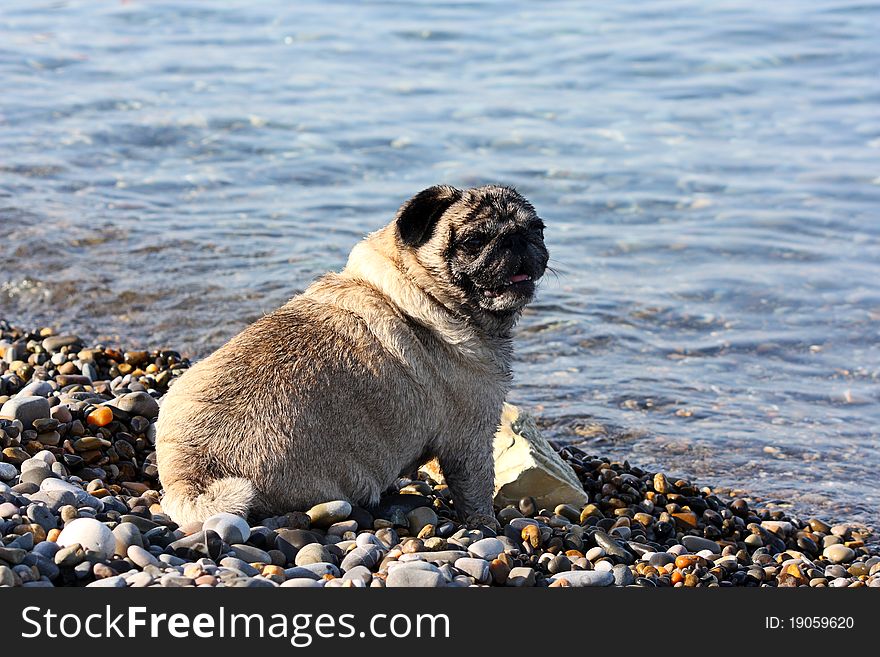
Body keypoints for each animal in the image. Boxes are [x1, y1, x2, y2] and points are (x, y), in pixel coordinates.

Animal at [155, 184, 548, 528]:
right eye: (474, 241)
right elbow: (477, 491)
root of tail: (191, 471)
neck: (423, 292)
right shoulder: (471, 438)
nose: (516, 239)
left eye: (538, 229)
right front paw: (487, 524)